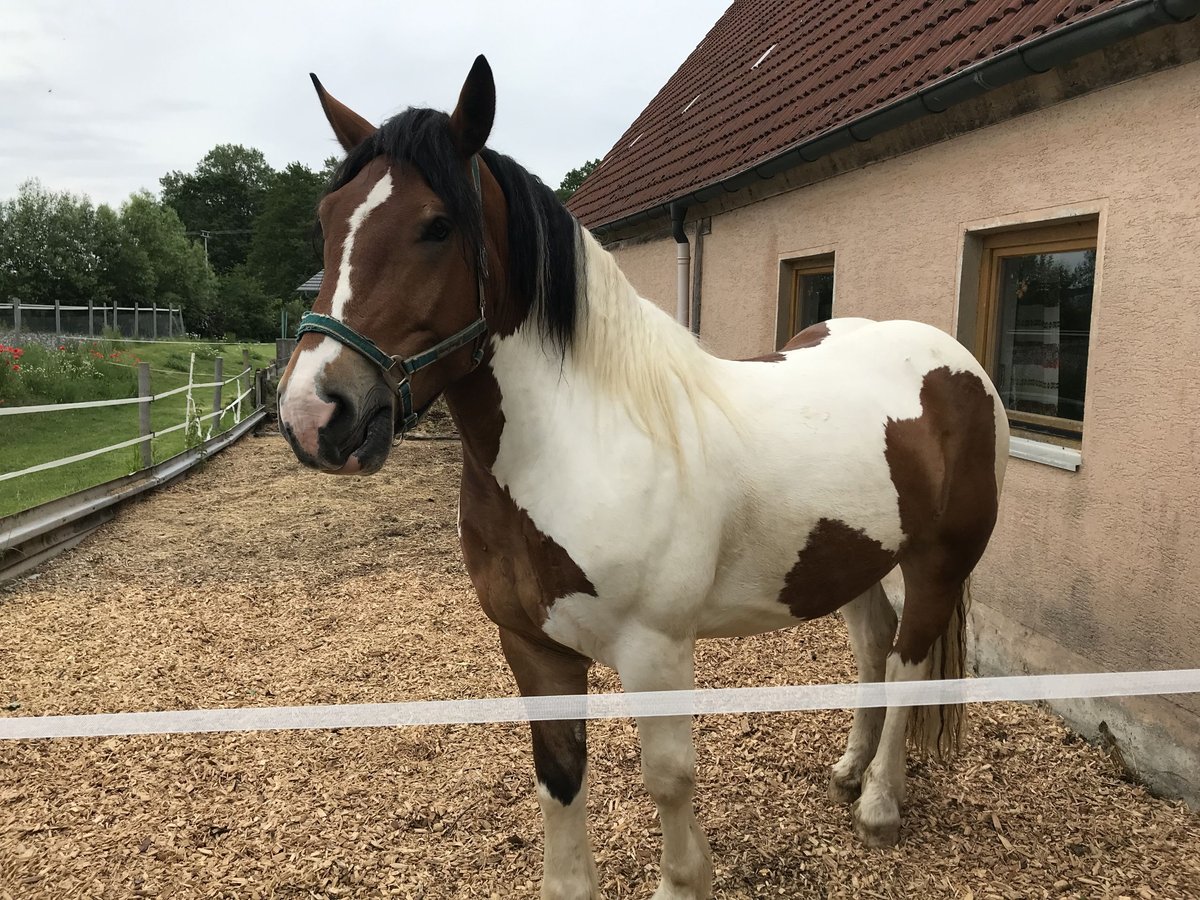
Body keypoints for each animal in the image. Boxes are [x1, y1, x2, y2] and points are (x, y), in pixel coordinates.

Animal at [276, 56, 1008, 900]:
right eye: (326, 220)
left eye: (436, 226)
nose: (312, 413)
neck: (585, 445)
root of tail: (956, 364)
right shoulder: (533, 646)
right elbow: (559, 780)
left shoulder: (656, 653)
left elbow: (669, 779)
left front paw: (685, 879)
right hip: (852, 560)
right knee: (872, 650)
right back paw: (850, 770)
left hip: (936, 565)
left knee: (909, 662)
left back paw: (880, 804)